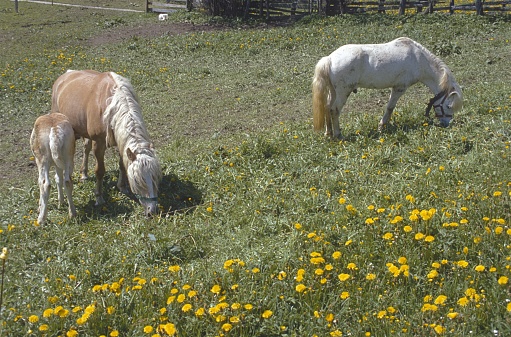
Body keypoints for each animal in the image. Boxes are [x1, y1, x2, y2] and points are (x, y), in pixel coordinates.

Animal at [50, 69, 162, 215]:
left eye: (155, 177)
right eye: (138, 180)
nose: (152, 210)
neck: (112, 105)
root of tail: (65, 75)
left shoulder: (121, 142)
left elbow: (122, 165)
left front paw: (122, 186)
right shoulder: (99, 144)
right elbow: (100, 171)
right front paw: (99, 197)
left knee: (86, 148)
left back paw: (84, 173)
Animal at [312, 35, 464, 138]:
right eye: (449, 106)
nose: (447, 124)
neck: (418, 59)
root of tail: (330, 59)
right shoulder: (399, 88)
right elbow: (390, 108)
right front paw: (381, 127)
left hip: (333, 91)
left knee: (327, 107)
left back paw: (328, 133)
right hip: (343, 92)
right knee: (334, 110)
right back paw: (338, 135)